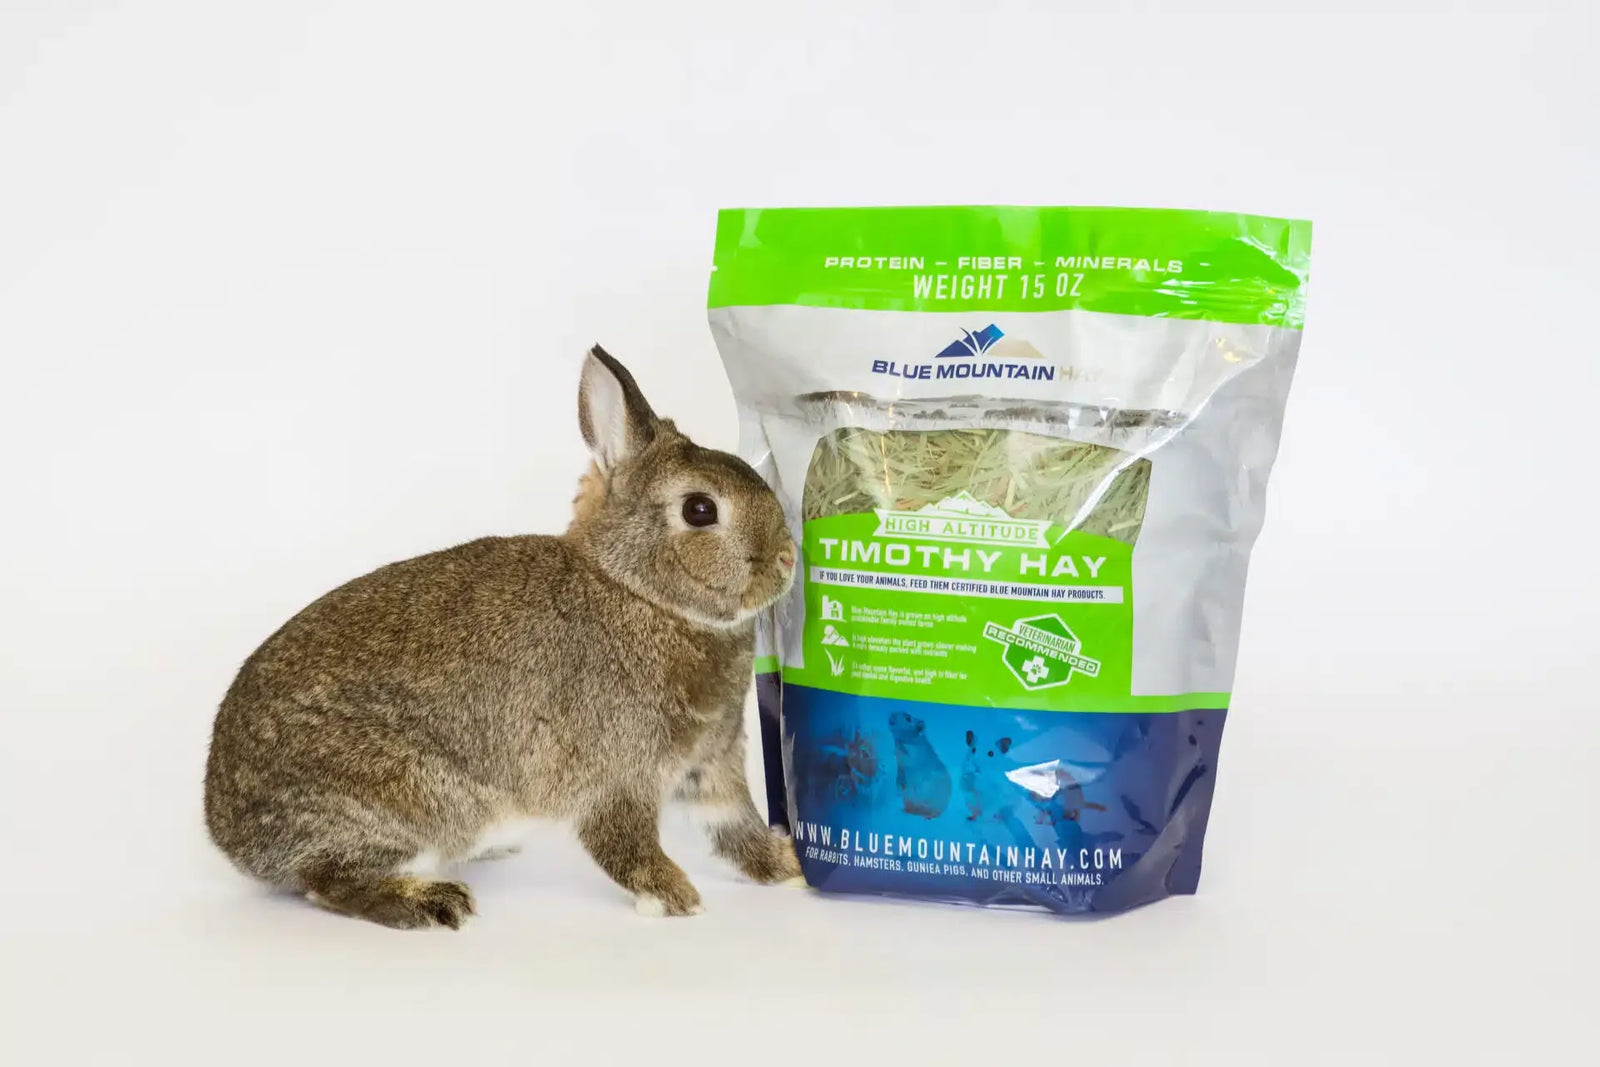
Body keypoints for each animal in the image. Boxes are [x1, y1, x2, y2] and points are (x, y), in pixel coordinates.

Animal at [204, 346, 802, 929]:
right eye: (700, 509)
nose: (787, 559)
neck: (640, 592)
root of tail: (225, 832)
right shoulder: (618, 775)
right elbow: (624, 843)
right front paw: (676, 898)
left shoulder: (712, 765)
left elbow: (737, 828)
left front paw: (788, 865)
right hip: (411, 797)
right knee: (328, 883)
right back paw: (432, 901)